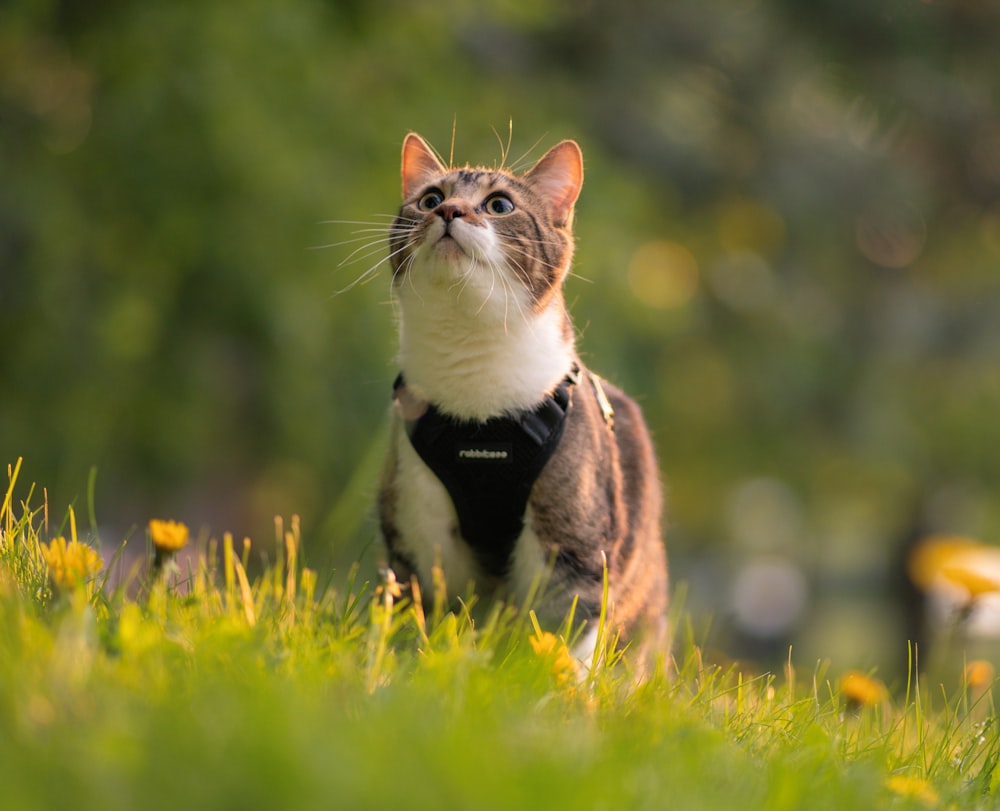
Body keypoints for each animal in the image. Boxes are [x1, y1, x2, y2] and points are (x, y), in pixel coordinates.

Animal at [374, 133, 664, 668]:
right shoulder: (416, 524)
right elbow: (422, 613)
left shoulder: (575, 543)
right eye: (429, 198)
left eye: (499, 205)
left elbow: (562, 633)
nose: (448, 210)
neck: (479, 407)